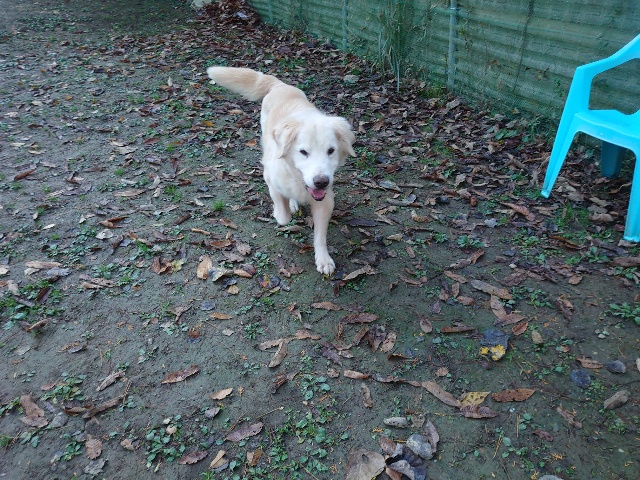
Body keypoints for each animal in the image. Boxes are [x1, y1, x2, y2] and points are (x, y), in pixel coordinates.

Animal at [206, 66, 356, 275]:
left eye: (331, 151)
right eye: (303, 152)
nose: (321, 182)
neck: (299, 181)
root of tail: (280, 85)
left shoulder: (325, 201)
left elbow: (320, 236)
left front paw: (323, 259)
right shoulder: (270, 179)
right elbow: (283, 216)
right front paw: (281, 212)